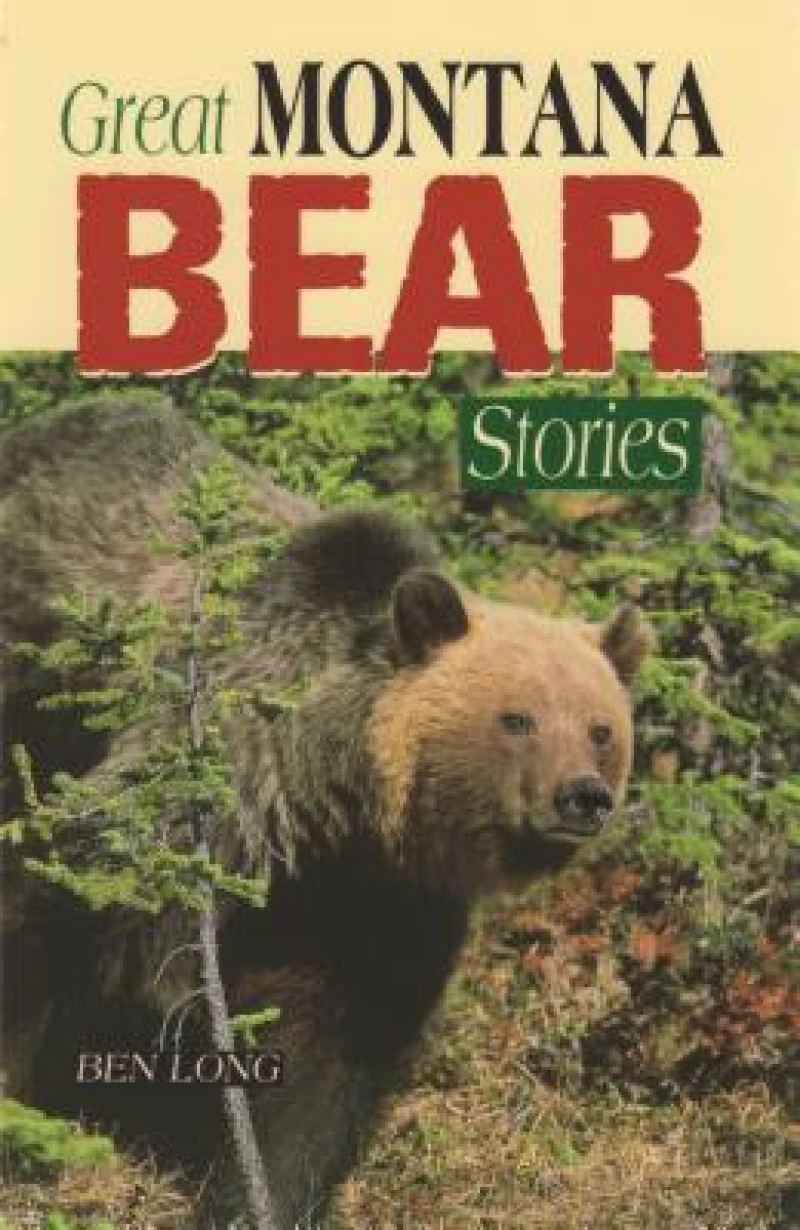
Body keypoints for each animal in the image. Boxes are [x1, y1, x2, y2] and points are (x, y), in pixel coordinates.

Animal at [0, 394, 653, 1228]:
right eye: (518, 718)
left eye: (602, 728)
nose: (583, 795)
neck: (329, 801)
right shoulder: (212, 791)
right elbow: (64, 902)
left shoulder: (374, 904)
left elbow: (328, 1057)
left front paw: (258, 1196)